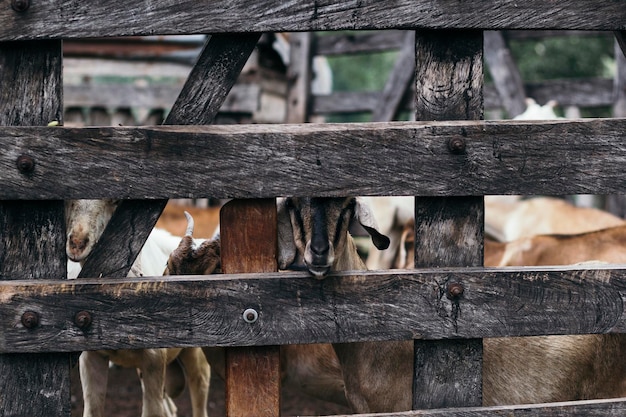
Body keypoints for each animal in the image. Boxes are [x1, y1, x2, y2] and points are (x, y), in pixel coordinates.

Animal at [64, 200, 210, 416]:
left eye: (115, 203)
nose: (77, 243)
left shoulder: (154, 359)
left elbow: (152, 411)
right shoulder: (91, 358)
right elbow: (92, 409)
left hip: (196, 355)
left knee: (199, 392)